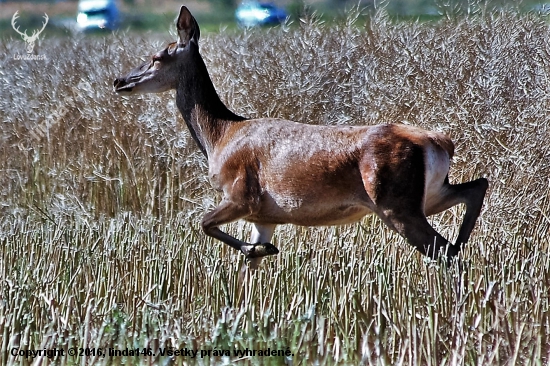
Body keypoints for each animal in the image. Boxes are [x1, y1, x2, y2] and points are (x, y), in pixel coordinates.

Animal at [113, 5, 492, 272]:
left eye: (157, 57)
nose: (120, 81)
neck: (219, 136)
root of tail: (439, 142)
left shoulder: (242, 194)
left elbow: (202, 223)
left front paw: (262, 249)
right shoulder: (264, 216)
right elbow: (247, 267)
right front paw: (258, 257)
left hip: (395, 201)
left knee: (444, 250)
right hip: (428, 194)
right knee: (476, 189)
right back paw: (464, 241)